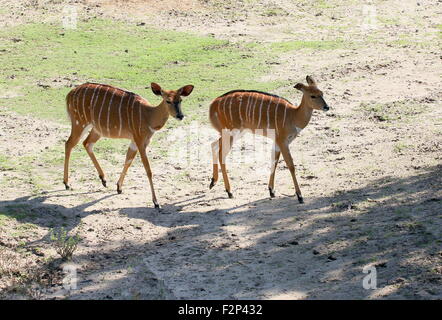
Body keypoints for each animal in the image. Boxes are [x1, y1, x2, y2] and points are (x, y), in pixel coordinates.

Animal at [63, 81, 193, 209]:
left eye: (180, 100)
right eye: (168, 100)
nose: (180, 116)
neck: (149, 116)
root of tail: (70, 94)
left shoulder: (135, 142)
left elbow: (128, 160)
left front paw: (119, 187)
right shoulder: (140, 141)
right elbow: (148, 170)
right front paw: (156, 202)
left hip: (97, 130)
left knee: (87, 143)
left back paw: (103, 179)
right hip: (79, 123)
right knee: (68, 144)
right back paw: (67, 184)